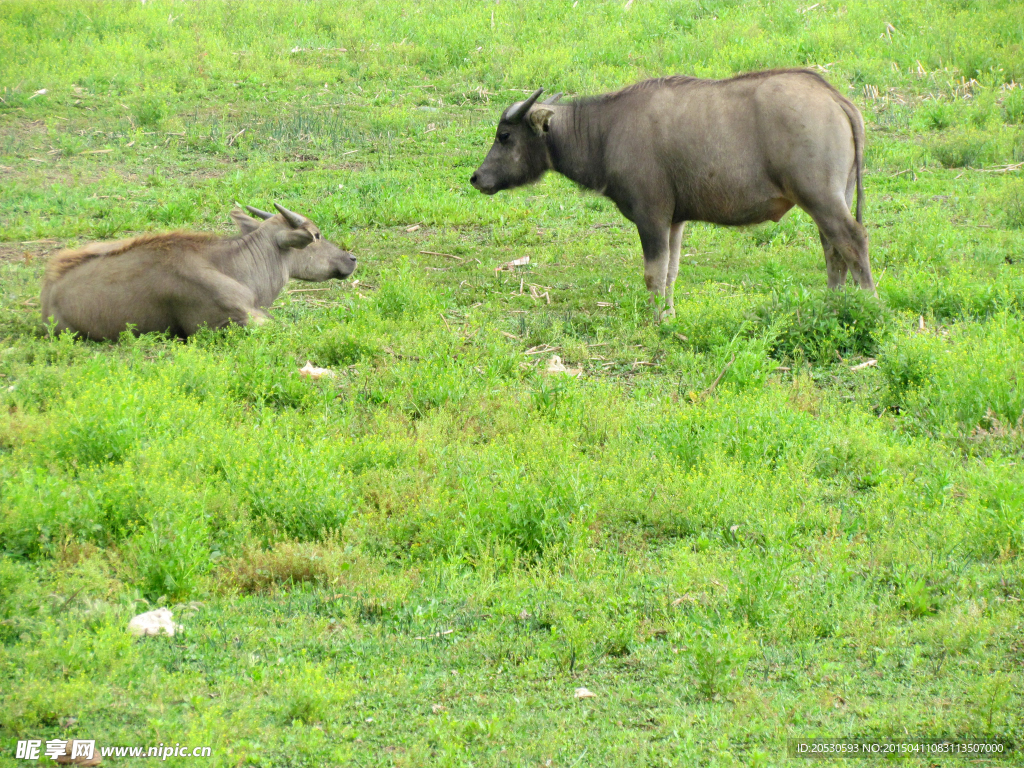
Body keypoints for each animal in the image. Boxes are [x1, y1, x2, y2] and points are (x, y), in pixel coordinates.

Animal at [471, 67, 872, 317]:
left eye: (504, 136)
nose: (477, 177)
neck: (605, 132)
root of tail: (834, 97)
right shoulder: (676, 222)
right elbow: (671, 273)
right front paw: (669, 315)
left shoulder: (651, 217)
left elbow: (653, 274)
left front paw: (656, 320)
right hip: (830, 199)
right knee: (833, 250)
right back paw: (834, 306)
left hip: (821, 198)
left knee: (853, 241)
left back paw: (870, 304)